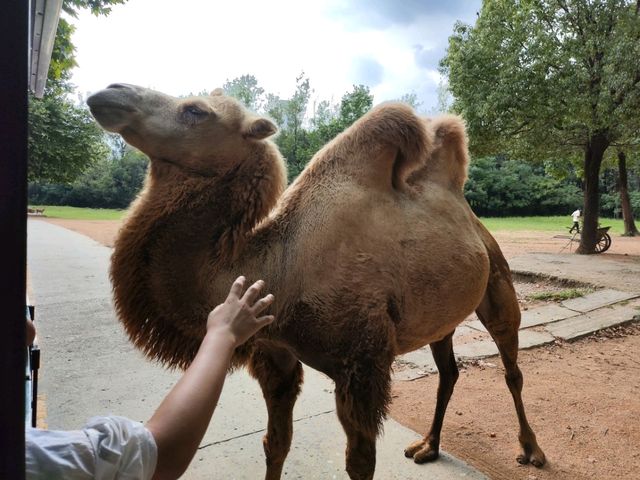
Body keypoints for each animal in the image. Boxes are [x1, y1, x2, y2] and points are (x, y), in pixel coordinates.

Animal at [86, 84, 544, 480]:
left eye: (196, 110)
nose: (109, 92)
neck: (278, 271)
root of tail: (471, 217)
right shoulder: (275, 355)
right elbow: (276, 443)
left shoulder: (361, 364)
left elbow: (360, 462)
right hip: (439, 316)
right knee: (449, 372)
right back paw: (428, 446)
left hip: (497, 281)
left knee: (511, 367)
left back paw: (531, 450)